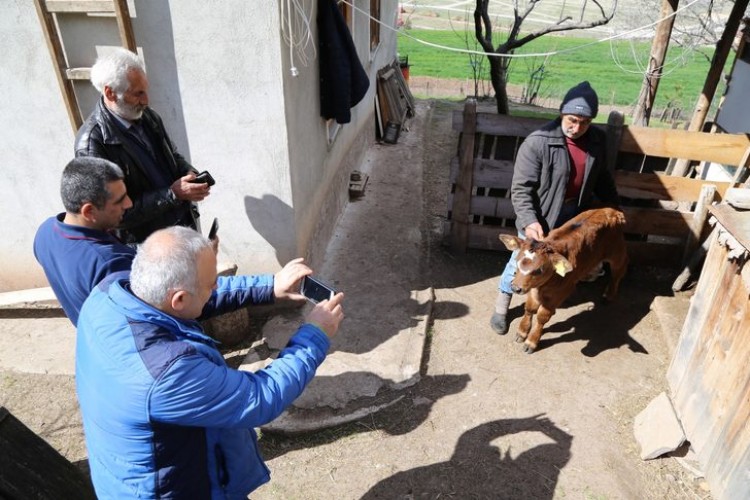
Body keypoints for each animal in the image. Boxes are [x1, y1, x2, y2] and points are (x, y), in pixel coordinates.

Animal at [502, 209, 632, 354]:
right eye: (516, 260)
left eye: (539, 270)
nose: (515, 288)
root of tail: (613, 211)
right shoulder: (533, 287)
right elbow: (530, 308)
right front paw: (521, 332)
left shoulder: (562, 290)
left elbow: (542, 316)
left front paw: (531, 342)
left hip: (617, 252)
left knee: (619, 270)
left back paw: (609, 295)